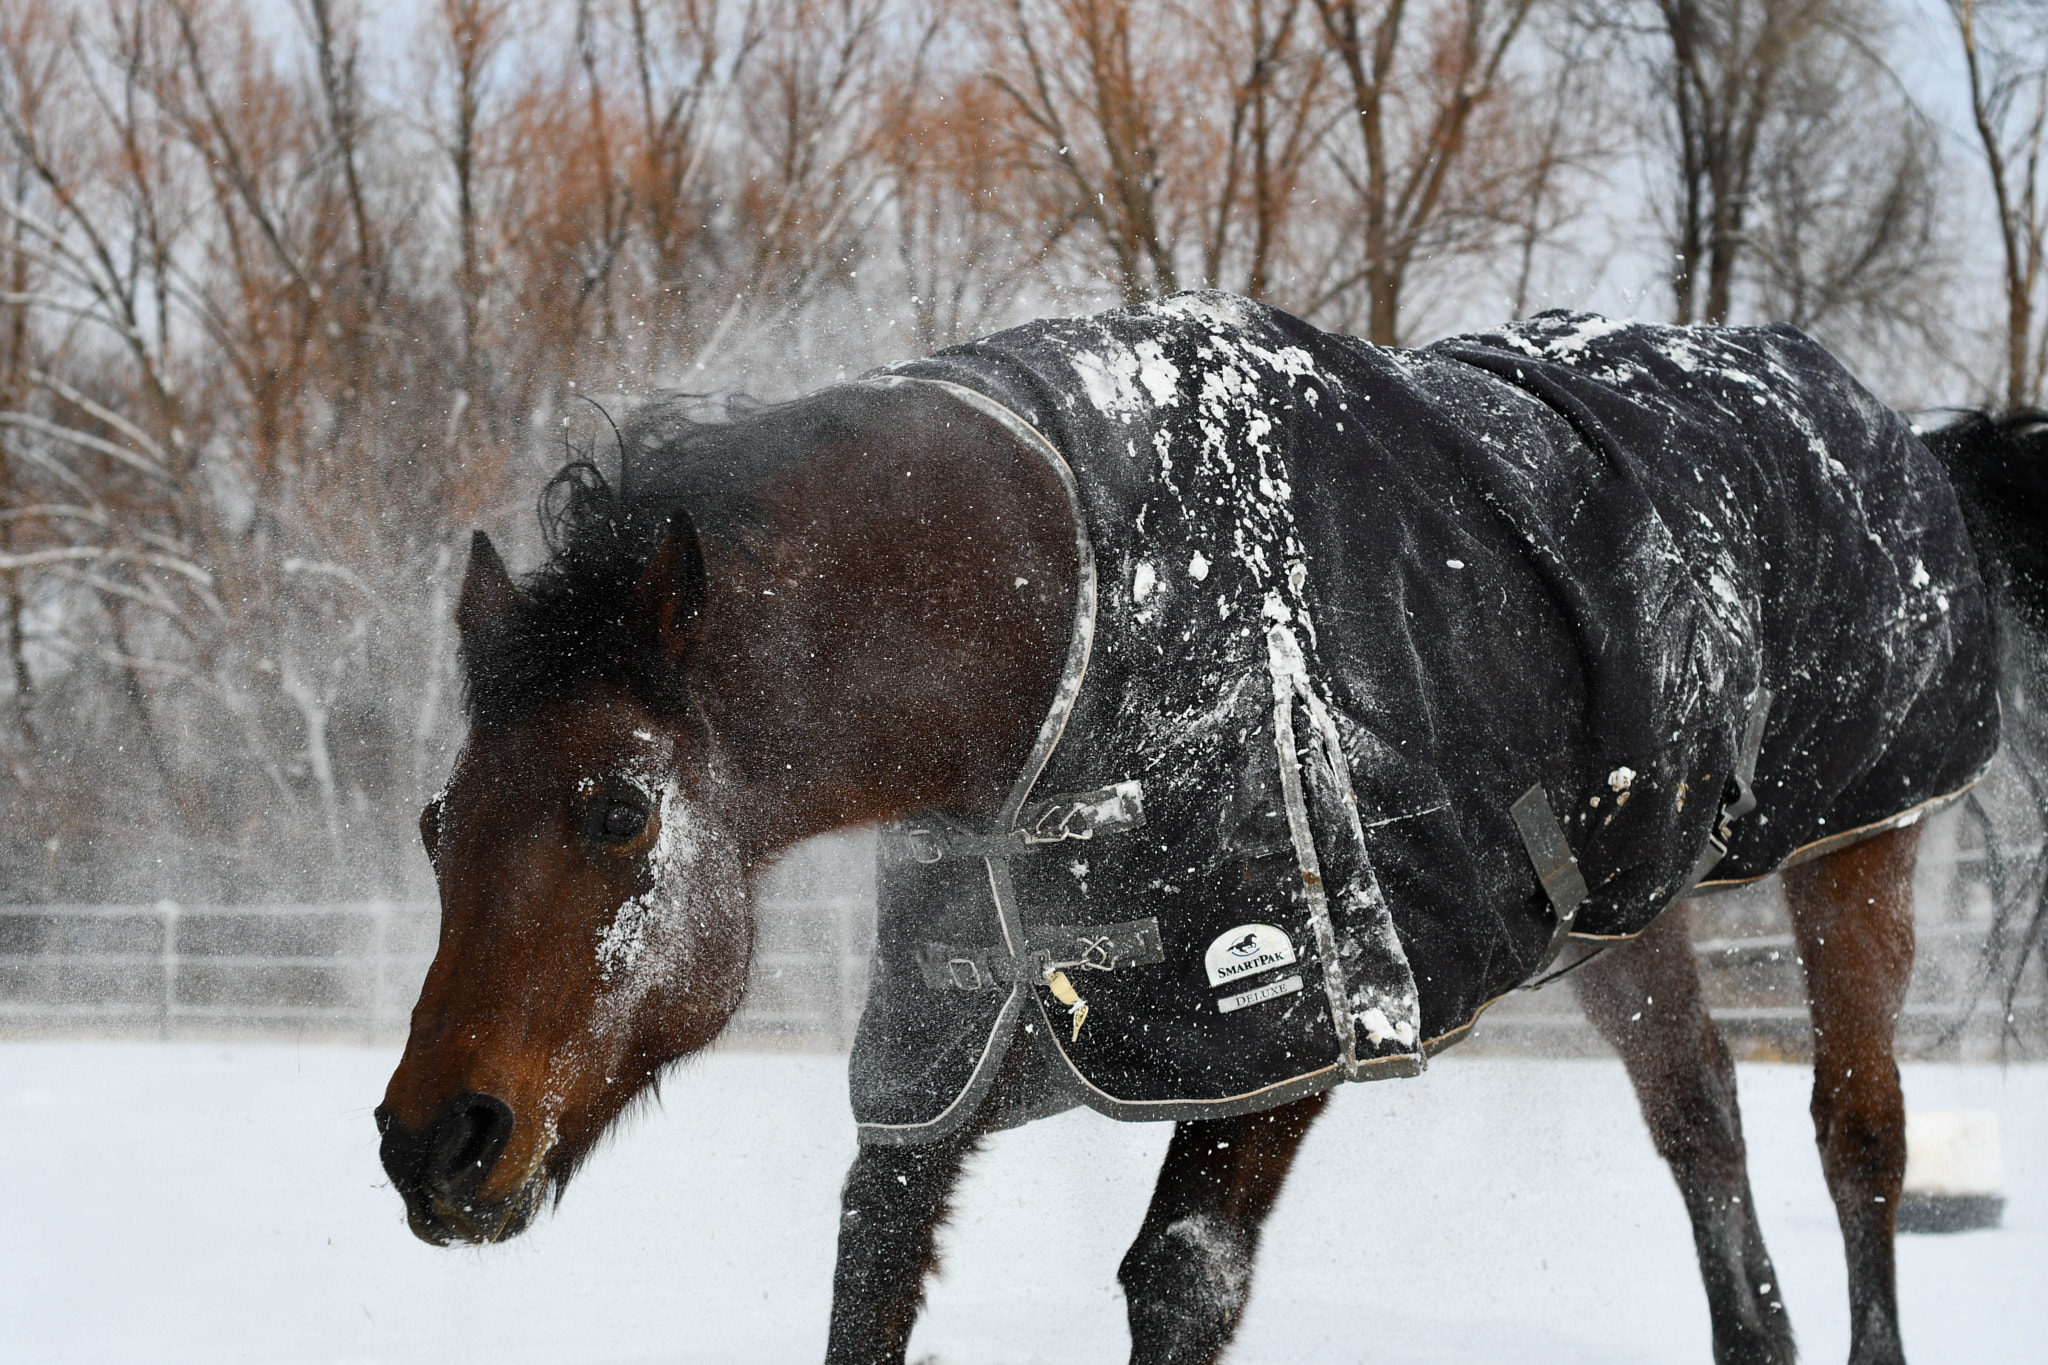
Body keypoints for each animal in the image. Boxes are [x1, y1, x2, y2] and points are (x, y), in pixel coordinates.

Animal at [376, 296, 2039, 1365]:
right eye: (435, 822)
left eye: (614, 807)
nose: (433, 1140)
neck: (1059, 616)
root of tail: (1897, 433)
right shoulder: (948, 1048)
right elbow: (871, 1264)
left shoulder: (1289, 1022)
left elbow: (1178, 1280)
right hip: (1631, 915)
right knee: (1704, 1126)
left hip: (1860, 853)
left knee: (1861, 1139)